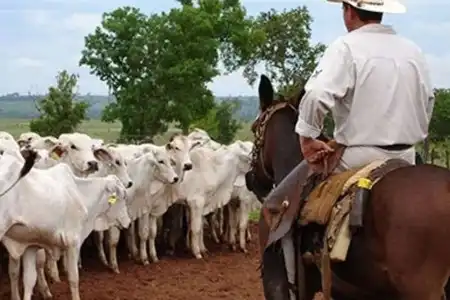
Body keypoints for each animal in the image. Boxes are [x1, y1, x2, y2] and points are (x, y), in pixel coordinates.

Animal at [0, 156, 131, 300]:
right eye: (123, 197)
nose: (128, 222)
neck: (81, 194)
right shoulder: (73, 243)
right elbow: (74, 277)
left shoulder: (30, 245)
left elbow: (29, 280)